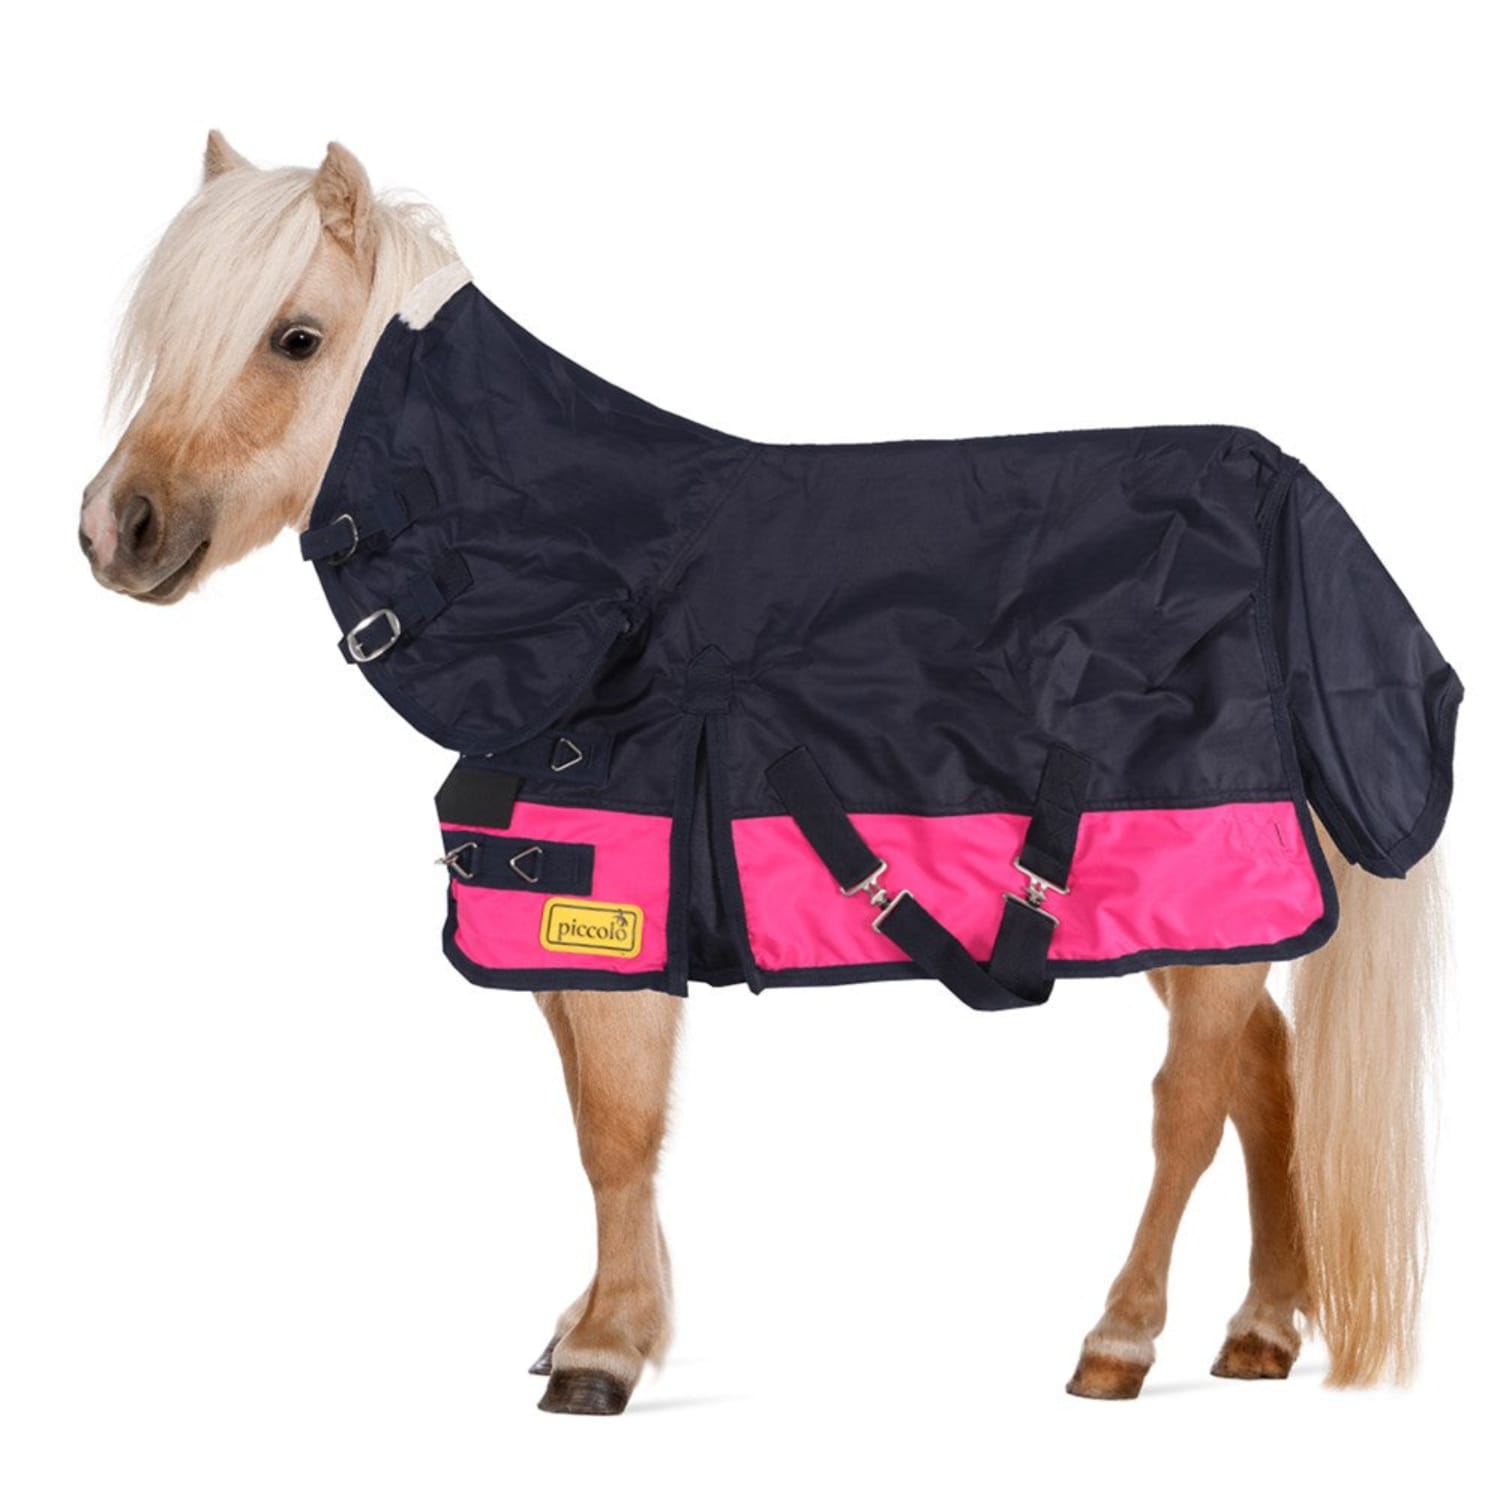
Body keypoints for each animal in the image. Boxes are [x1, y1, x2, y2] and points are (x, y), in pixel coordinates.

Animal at [80, 131, 1446, 1416]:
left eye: (295, 339)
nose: (113, 526)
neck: (603, 582)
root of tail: (1287, 498)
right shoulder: (556, 913)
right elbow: (595, 1128)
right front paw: (598, 1322)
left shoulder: (615, 906)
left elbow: (619, 1132)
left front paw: (605, 1353)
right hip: (1178, 916)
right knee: (1263, 1076)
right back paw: (1259, 1331)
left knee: (1189, 1106)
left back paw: (1119, 1340)